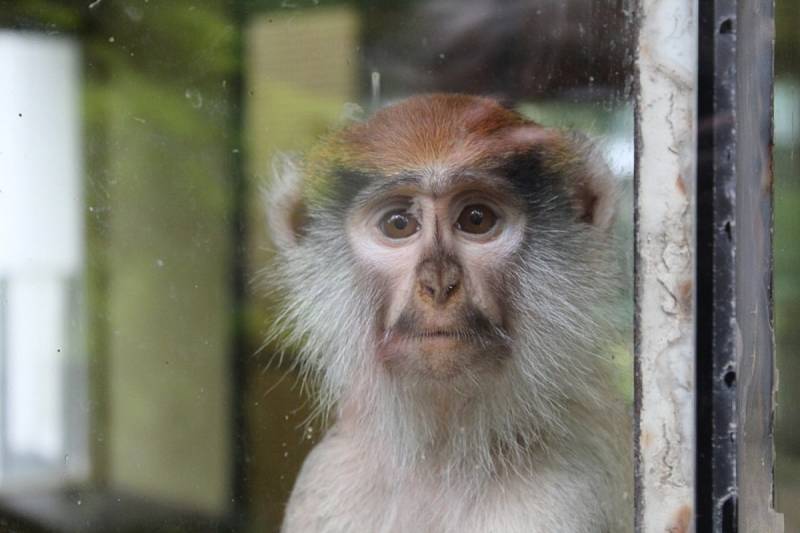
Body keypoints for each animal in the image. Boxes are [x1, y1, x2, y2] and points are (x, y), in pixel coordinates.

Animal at [266, 94, 636, 532]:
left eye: (476, 219)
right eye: (398, 223)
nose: (439, 284)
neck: (446, 451)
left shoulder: (568, 493)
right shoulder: (327, 476)